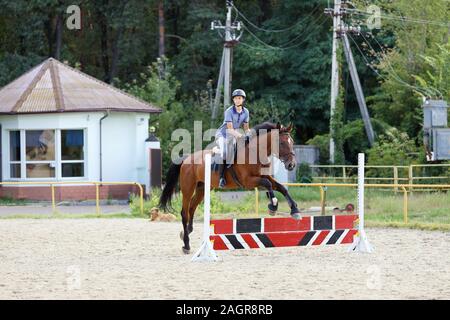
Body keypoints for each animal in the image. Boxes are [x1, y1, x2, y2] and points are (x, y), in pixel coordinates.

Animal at [160, 121, 300, 254]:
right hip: (188, 189)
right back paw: (187, 245)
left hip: (202, 188)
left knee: (192, 208)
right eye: (281, 143)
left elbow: (281, 187)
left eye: (292, 142)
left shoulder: (262, 177)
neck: (255, 152)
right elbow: (268, 184)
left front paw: (295, 211)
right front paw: (273, 206)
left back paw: (186, 233)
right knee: (184, 212)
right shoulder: (248, 181)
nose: (291, 165)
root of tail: (187, 159)